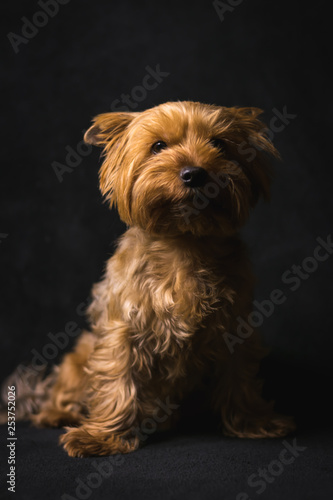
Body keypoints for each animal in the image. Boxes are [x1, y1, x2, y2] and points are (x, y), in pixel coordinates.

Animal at [2, 101, 294, 458]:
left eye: (219, 145)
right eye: (158, 146)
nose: (194, 173)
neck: (185, 243)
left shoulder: (236, 328)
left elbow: (240, 378)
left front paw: (253, 423)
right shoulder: (122, 329)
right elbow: (118, 379)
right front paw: (103, 437)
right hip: (78, 356)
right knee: (63, 393)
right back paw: (57, 414)